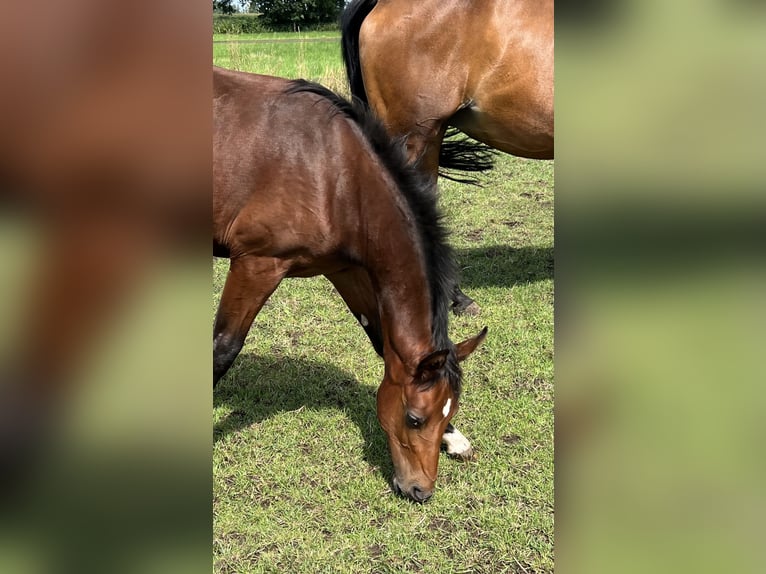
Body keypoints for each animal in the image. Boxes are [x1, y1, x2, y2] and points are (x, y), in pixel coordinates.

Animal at [212, 67, 486, 504]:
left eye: (448, 414)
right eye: (414, 418)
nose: (421, 490)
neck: (332, 171)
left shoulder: (345, 270)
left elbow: (382, 341)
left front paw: (456, 439)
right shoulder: (257, 265)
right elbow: (224, 348)